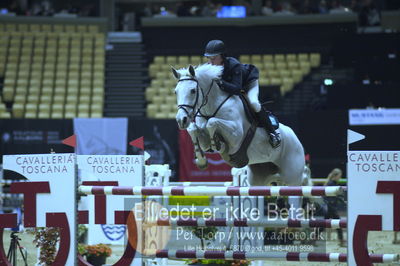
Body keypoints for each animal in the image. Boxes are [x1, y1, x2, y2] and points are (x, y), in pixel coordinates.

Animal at [172, 62, 306, 187]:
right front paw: (201, 161)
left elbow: (212, 122)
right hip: (259, 178)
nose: (181, 120)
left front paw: (218, 144)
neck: (211, 108)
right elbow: (193, 129)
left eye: (193, 91)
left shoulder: (236, 135)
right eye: (175, 92)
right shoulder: (204, 140)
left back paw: (275, 138)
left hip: (293, 178)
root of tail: (297, 140)